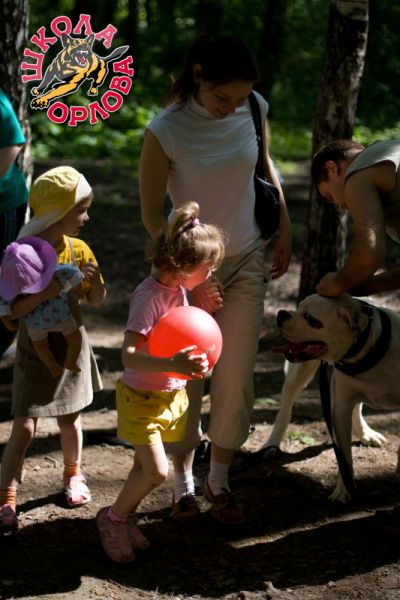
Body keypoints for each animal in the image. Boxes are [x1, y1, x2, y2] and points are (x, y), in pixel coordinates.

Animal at [264, 293, 400, 503]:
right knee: (285, 409)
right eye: (300, 307)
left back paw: (366, 434)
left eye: (312, 320)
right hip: (298, 375)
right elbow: (344, 456)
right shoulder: (339, 409)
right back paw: (272, 444)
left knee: (357, 408)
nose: (282, 314)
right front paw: (344, 491)